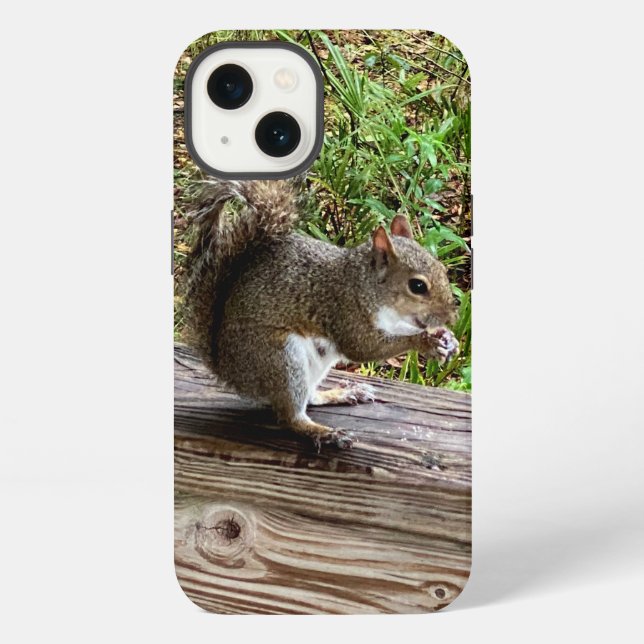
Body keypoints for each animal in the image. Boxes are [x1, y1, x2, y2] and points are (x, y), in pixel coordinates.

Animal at [182, 180, 459, 450]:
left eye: (442, 268)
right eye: (417, 286)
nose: (451, 316)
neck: (363, 284)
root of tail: (229, 370)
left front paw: (447, 338)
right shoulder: (344, 311)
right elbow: (364, 348)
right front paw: (425, 341)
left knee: (310, 398)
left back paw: (341, 394)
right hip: (280, 359)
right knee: (291, 417)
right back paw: (324, 432)